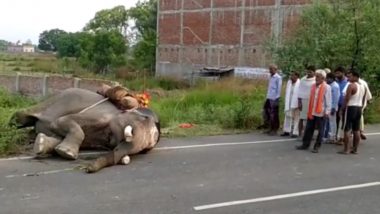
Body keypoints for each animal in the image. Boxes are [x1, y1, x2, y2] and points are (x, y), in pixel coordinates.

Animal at [8, 88, 160, 173]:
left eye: (146, 149)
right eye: (144, 118)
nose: (88, 168)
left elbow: (57, 137)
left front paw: (42, 144)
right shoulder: (100, 115)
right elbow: (61, 121)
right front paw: (67, 153)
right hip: (54, 101)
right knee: (22, 116)